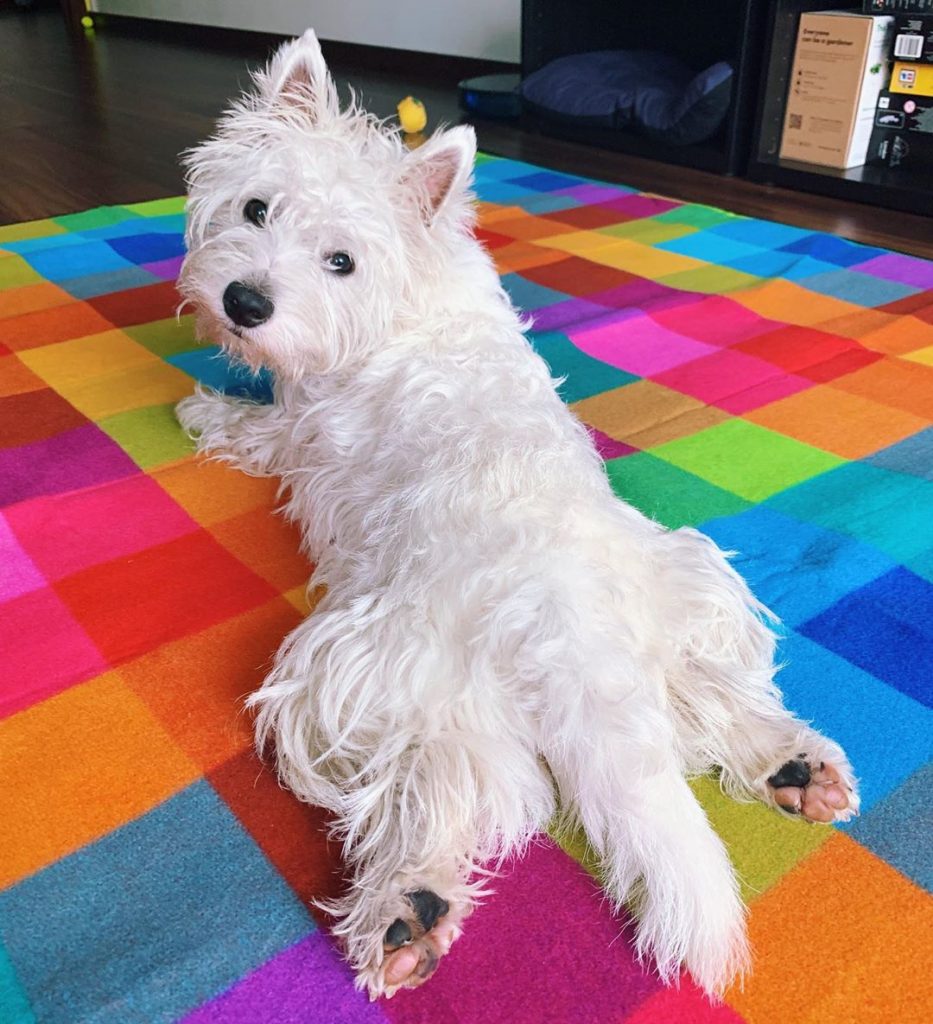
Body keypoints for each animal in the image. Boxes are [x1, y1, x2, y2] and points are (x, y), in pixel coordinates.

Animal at [177, 29, 860, 999]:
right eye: (256, 207)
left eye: (340, 261)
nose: (243, 302)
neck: (410, 297)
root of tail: (565, 637)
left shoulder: (303, 429)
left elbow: (257, 425)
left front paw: (202, 409)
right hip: (683, 584)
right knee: (700, 699)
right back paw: (792, 764)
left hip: (363, 675)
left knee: (448, 796)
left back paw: (405, 911)